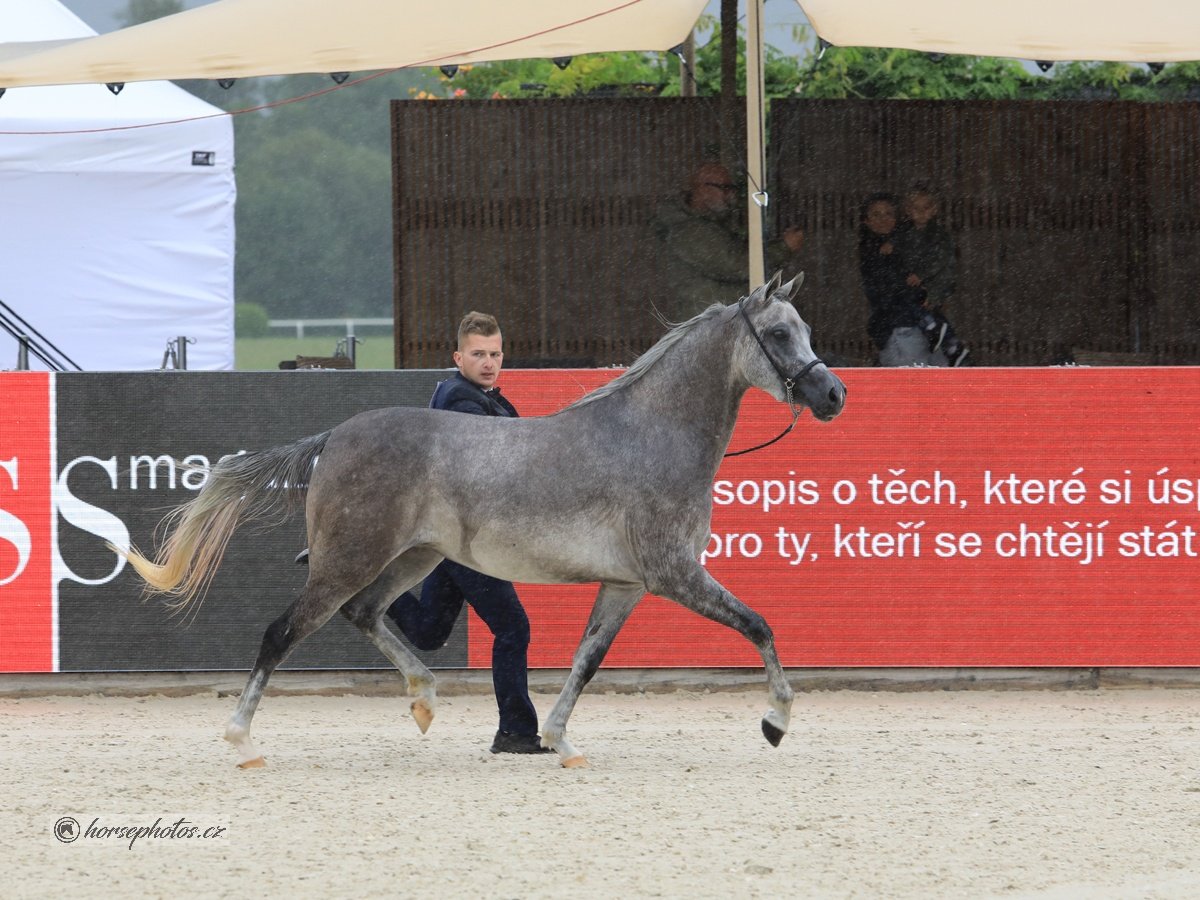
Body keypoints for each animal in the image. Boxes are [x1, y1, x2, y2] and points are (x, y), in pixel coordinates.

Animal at [112, 274, 844, 768]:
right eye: (780, 334)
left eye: (806, 329)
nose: (833, 394)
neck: (651, 437)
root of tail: (334, 438)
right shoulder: (675, 575)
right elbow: (759, 626)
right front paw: (776, 720)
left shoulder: (627, 585)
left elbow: (585, 661)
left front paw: (558, 739)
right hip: (350, 559)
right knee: (283, 630)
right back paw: (242, 739)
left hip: (412, 558)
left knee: (368, 614)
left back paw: (424, 699)